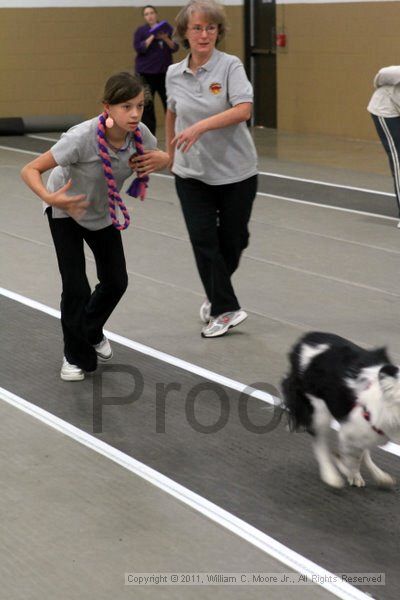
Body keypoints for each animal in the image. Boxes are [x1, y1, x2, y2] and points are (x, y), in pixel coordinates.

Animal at [282, 330, 400, 490]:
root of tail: (305, 338)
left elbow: (359, 453)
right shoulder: (349, 432)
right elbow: (351, 459)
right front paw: (347, 471)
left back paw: (379, 475)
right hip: (319, 411)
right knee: (319, 443)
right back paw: (330, 475)